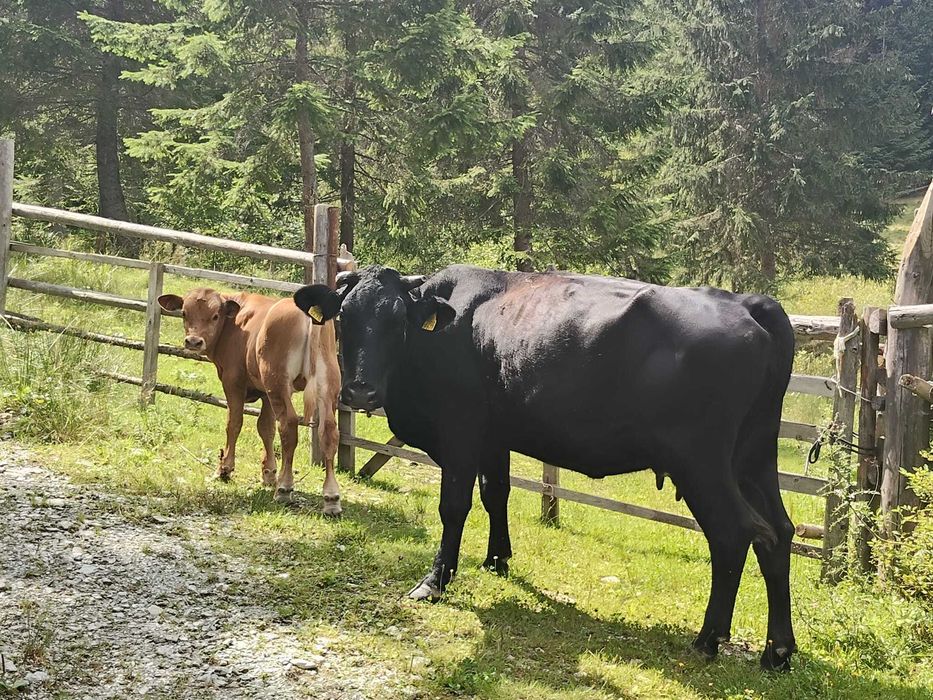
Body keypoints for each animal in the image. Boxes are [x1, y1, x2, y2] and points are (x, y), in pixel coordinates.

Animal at [158, 288, 342, 515]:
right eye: (184, 313)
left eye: (215, 316)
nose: (193, 341)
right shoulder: (265, 393)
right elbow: (266, 428)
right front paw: (269, 472)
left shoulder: (233, 382)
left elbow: (234, 423)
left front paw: (225, 469)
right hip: (326, 384)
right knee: (328, 431)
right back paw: (331, 498)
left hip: (278, 383)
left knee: (288, 426)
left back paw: (284, 488)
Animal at [293, 264, 798, 671]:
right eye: (344, 317)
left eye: (397, 320)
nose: (359, 391)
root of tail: (747, 303)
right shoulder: (494, 438)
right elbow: (496, 493)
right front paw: (497, 559)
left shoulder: (459, 434)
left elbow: (454, 507)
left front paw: (435, 581)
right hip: (753, 457)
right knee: (779, 533)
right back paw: (778, 651)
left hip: (701, 462)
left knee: (734, 533)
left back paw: (709, 639)